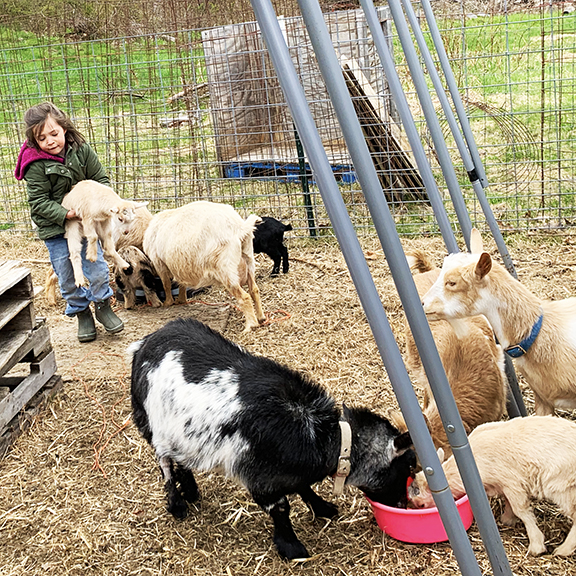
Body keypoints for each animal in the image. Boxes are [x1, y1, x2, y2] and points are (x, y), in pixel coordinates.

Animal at [129, 318, 416, 560]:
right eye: (406, 468)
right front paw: (291, 547)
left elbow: (302, 486)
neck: (321, 434)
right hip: (150, 422)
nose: (403, 504)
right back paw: (177, 503)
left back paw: (190, 489)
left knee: (178, 458)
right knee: (164, 462)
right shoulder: (260, 476)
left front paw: (322, 508)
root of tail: (145, 343)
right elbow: (281, 508)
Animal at [143, 200, 264, 330]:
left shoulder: (159, 263)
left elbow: (166, 285)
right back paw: (261, 318)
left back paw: (251, 326)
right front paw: (181, 300)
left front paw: (168, 303)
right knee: (254, 290)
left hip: (226, 269)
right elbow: (182, 284)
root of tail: (239, 227)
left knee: (244, 297)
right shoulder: (180, 267)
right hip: (249, 260)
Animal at [410, 416, 576, 556]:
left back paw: (563, 550)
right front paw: (508, 519)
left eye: (420, 505)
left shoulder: (512, 482)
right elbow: (509, 503)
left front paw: (536, 545)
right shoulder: (504, 484)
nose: (413, 507)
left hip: (563, 487)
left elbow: (521, 511)